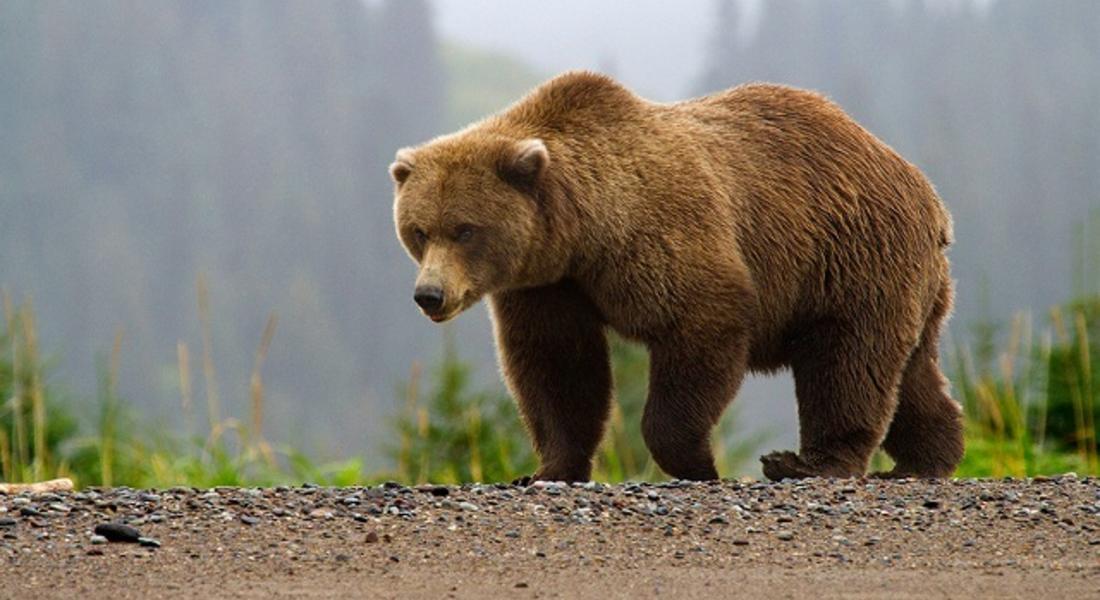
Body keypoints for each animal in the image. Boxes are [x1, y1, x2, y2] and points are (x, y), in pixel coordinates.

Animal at [387, 70, 963, 482]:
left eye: (465, 229)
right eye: (418, 230)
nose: (429, 294)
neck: (583, 232)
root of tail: (926, 192)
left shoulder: (661, 235)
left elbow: (701, 324)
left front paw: (698, 462)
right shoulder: (548, 284)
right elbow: (557, 366)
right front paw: (548, 469)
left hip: (850, 255)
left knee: (847, 361)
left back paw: (809, 463)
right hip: (902, 279)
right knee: (909, 371)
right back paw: (927, 458)